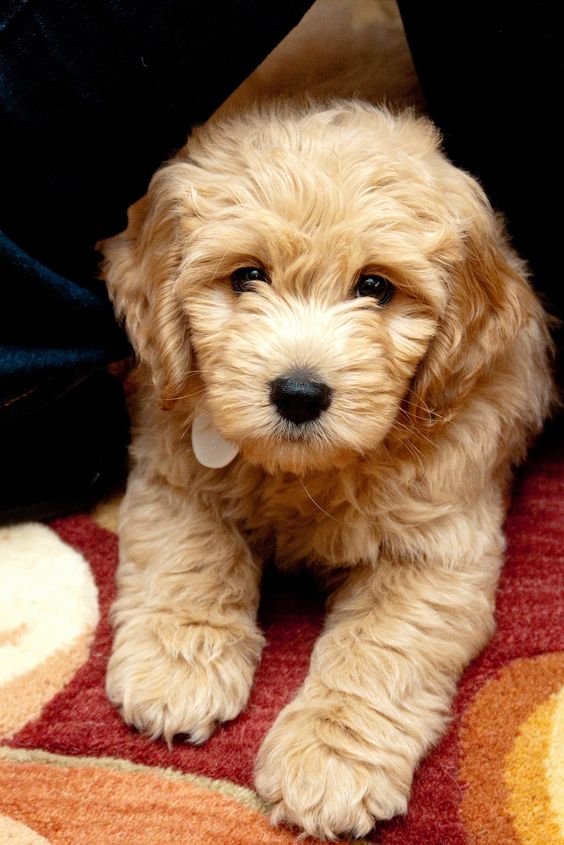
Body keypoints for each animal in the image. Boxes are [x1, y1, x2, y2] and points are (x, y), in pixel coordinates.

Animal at [100, 102, 552, 840]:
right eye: (247, 275)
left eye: (375, 286)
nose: (299, 394)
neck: (303, 474)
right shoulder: (174, 463)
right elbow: (191, 552)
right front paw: (177, 666)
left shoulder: (436, 550)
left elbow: (379, 647)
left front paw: (329, 762)